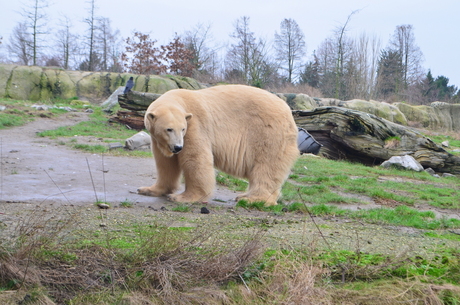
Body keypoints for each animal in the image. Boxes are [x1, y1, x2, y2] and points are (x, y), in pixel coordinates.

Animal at [137, 84, 298, 205]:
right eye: (168, 129)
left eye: (182, 129)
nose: (178, 147)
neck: (180, 99)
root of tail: (288, 111)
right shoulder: (159, 139)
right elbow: (165, 163)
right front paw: (148, 189)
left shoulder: (195, 126)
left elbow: (195, 159)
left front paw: (183, 197)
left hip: (267, 131)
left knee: (266, 166)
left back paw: (252, 199)